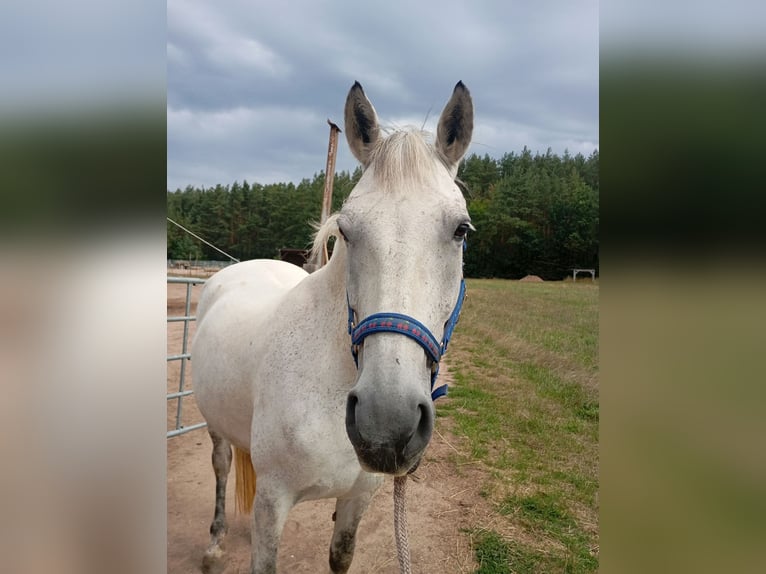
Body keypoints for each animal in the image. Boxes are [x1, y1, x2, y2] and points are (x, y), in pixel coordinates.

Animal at [191, 80, 474, 574]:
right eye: (346, 229)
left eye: (461, 230)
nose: (386, 422)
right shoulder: (273, 502)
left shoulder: (359, 498)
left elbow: (340, 555)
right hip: (215, 428)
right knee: (222, 466)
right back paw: (215, 545)